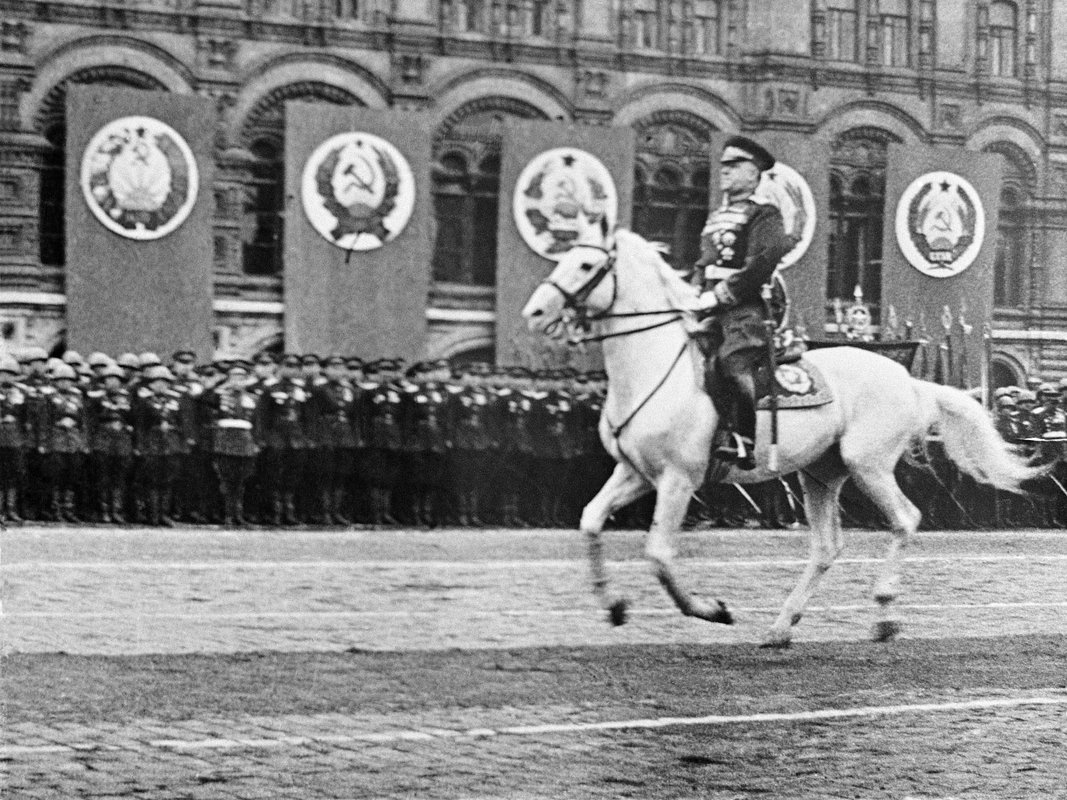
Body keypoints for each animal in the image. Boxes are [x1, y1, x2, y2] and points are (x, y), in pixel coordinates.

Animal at [520, 228, 1037, 648]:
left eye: (587, 265)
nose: (535, 312)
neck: (654, 368)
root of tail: (909, 379)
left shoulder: (678, 480)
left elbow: (659, 555)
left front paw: (710, 610)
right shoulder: (634, 473)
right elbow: (590, 521)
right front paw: (612, 604)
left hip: (867, 464)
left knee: (906, 520)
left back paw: (883, 614)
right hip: (821, 474)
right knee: (827, 547)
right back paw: (782, 626)